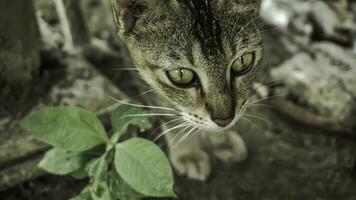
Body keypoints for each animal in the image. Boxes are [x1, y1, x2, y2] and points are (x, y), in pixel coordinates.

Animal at [110, 0, 262, 180]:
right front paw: (188, 154)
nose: (225, 119)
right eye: (181, 75)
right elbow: (170, 116)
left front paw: (221, 141)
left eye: (242, 61)